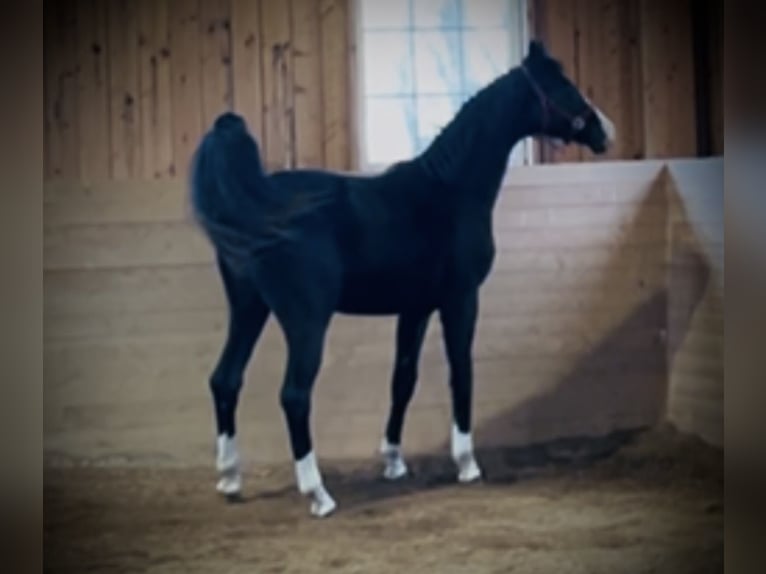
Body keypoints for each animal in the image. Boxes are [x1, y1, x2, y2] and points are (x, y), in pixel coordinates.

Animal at [189, 40, 616, 518]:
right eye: (564, 87)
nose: (604, 131)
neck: (449, 190)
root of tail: (255, 203)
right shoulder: (460, 299)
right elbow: (461, 371)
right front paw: (467, 464)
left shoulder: (415, 308)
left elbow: (403, 380)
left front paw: (393, 461)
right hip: (306, 321)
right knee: (294, 395)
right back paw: (318, 495)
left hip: (249, 309)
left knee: (225, 379)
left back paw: (230, 480)